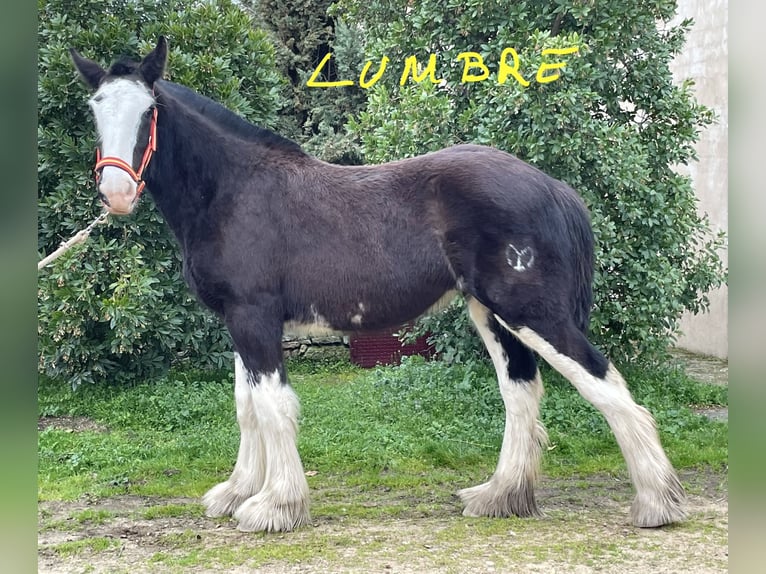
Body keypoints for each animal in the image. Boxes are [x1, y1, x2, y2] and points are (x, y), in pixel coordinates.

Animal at [69, 37, 686, 532]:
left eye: (149, 111)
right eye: (95, 110)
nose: (116, 194)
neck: (233, 191)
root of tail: (552, 186)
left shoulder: (254, 317)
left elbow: (272, 406)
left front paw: (274, 507)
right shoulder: (241, 323)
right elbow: (247, 406)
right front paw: (237, 492)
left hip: (534, 312)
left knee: (606, 385)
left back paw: (656, 503)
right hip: (492, 314)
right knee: (521, 393)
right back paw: (500, 496)